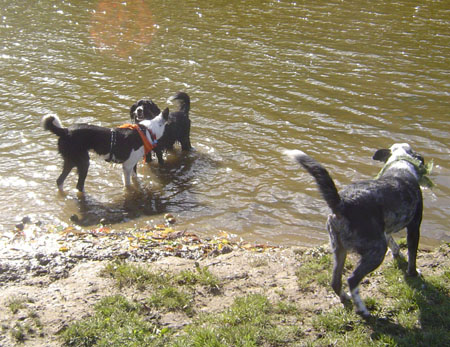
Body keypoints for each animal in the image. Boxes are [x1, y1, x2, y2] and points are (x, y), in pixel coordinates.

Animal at [284, 143, 428, 318]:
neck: (400, 165)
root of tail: (342, 203)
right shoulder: (414, 227)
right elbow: (412, 256)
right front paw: (413, 273)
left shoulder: (385, 230)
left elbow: (394, 243)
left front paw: (397, 254)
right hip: (377, 251)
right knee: (352, 280)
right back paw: (362, 309)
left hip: (339, 250)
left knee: (335, 282)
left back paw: (345, 297)